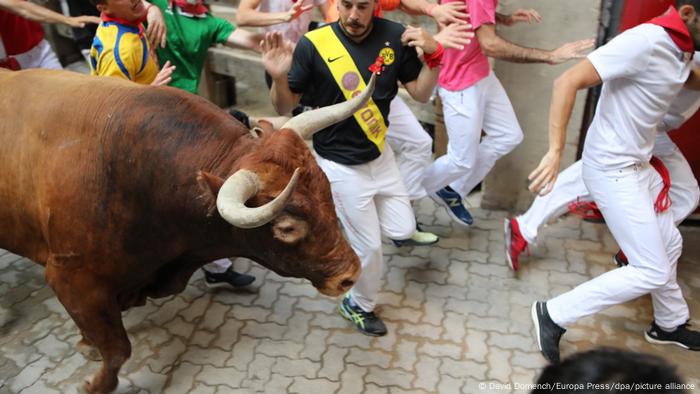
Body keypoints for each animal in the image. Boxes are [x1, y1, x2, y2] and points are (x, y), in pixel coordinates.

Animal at [0, 69, 374, 392]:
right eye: (287, 226)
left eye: (327, 189)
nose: (350, 275)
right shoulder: (71, 278)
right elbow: (118, 348)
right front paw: (95, 383)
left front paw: (86, 343)